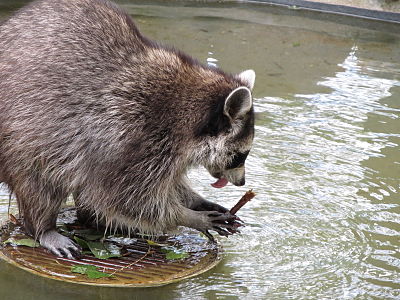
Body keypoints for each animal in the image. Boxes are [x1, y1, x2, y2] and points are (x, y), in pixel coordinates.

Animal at [0, 0, 255, 258]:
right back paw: (44, 227)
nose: (242, 183)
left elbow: (169, 185)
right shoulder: (132, 137)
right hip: (23, 138)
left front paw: (194, 200)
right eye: (240, 156)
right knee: (39, 182)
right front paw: (189, 216)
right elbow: (127, 199)